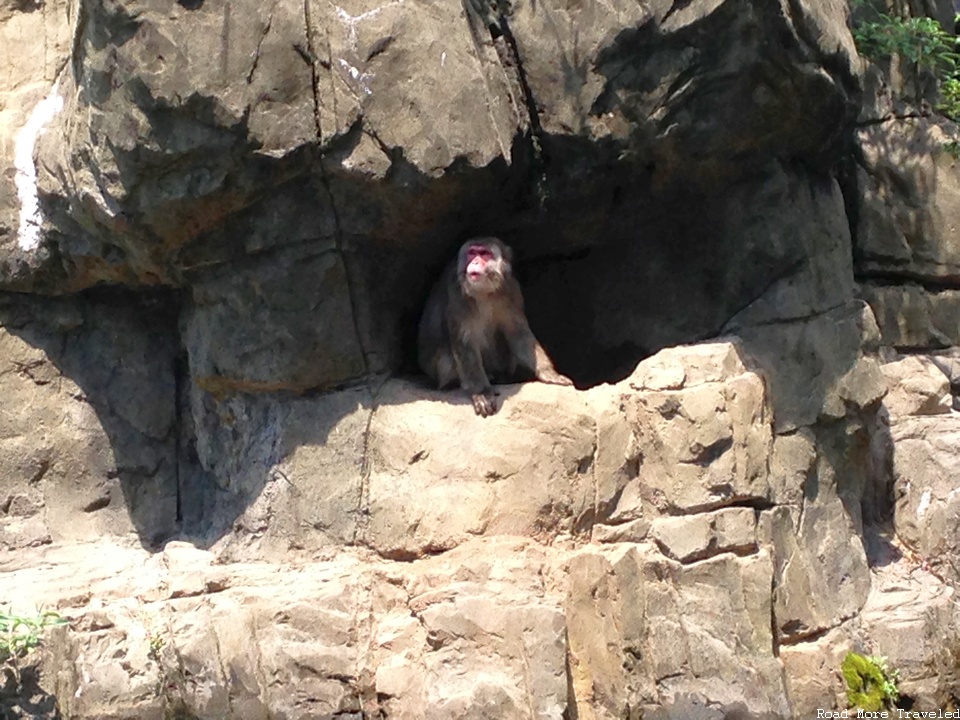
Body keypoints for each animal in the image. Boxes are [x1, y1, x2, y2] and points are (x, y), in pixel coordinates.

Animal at [418, 236, 568, 416]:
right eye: (472, 253)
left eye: (484, 254)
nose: (475, 262)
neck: (484, 292)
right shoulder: (457, 295)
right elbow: (465, 344)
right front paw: (481, 393)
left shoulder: (510, 289)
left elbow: (519, 333)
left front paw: (548, 372)